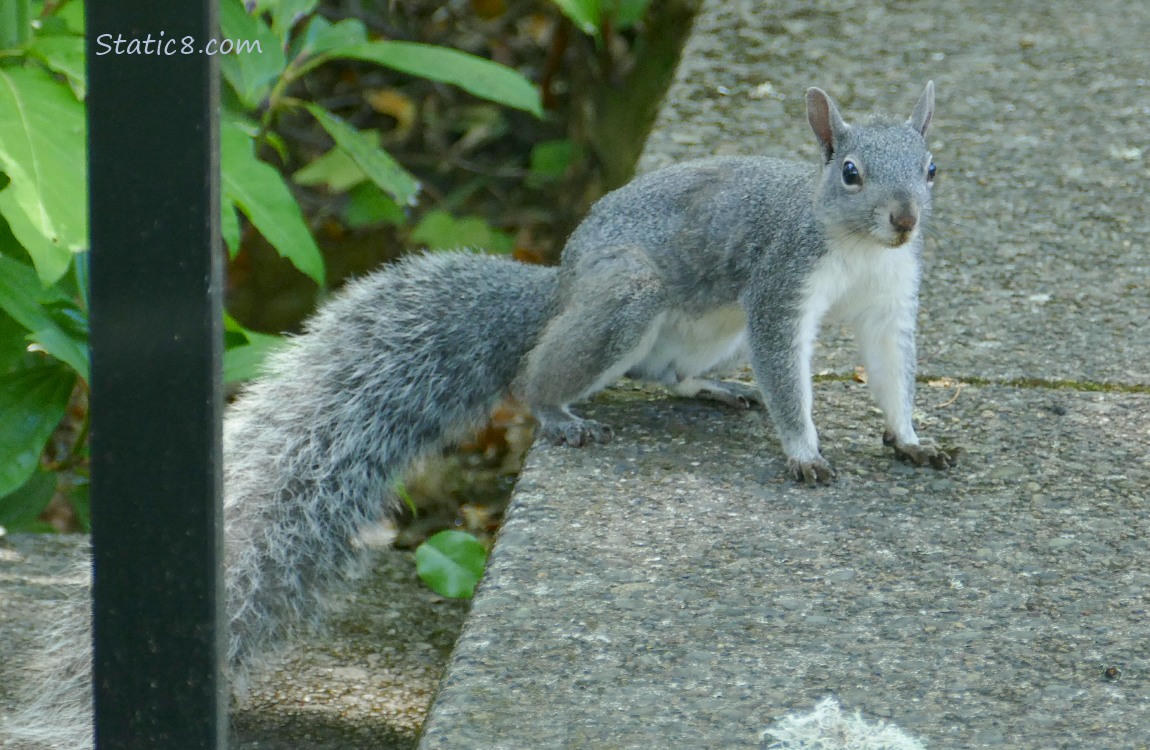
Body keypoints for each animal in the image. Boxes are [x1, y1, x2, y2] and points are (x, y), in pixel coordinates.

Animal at [7, 83, 953, 748]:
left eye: (932, 168)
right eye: (850, 172)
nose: (907, 220)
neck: (857, 247)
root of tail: (561, 286)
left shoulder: (887, 301)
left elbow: (893, 371)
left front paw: (911, 440)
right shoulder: (779, 288)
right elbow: (787, 373)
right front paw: (803, 450)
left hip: (702, 332)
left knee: (668, 374)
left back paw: (708, 392)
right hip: (629, 297)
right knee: (537, 375)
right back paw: (562, 412)